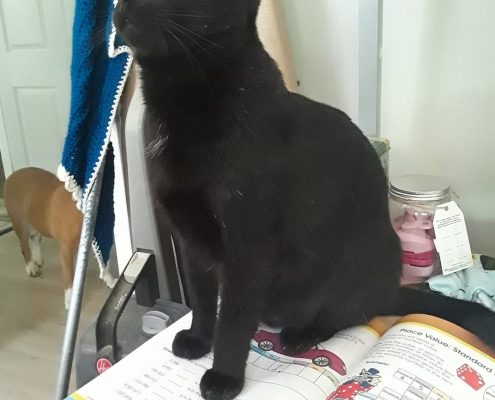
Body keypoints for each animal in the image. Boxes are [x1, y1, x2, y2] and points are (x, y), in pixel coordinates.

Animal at [4, 167, 91, 308]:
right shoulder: (66, 251)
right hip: (20, 223)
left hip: (38, 220)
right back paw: (31, 267)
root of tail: (13, 175)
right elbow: (68, 277)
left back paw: (37, 258)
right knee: (24, 245)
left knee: (34, 238)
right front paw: (70, 299)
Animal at [113, 1, 495, 398]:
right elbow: (203, 300)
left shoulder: (248, 252)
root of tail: (390, 289)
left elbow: (232, 319)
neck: (183, 101)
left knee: (350, 313)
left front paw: (225, 377)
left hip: (353, 266)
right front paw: (199, 340)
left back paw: (302, 334)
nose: (124, 6)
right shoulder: (191, 241)